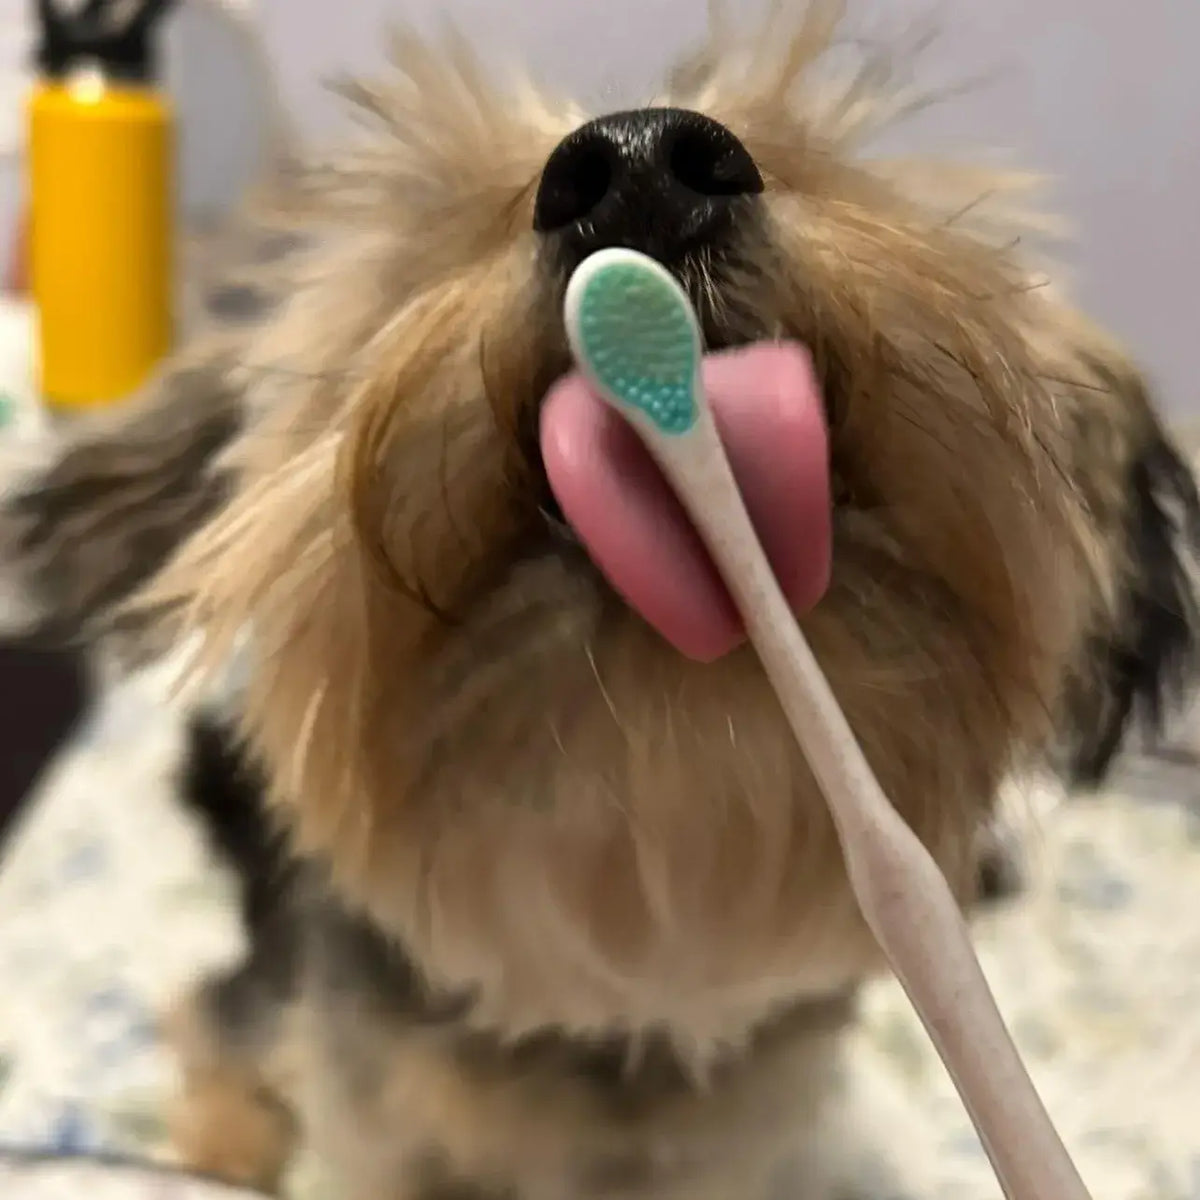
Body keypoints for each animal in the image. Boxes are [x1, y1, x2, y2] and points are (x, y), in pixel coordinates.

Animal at [2, 4, 1200, 1195]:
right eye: (428, 241)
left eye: (827, 162)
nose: (637, 161)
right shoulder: (375, 1129)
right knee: (214, 1010)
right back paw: (228, 1133)